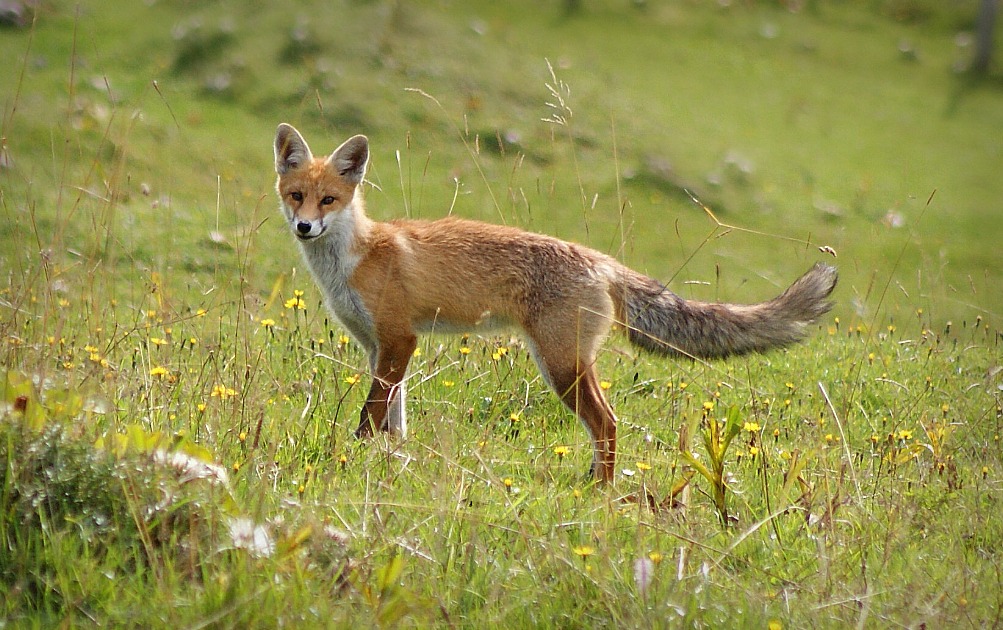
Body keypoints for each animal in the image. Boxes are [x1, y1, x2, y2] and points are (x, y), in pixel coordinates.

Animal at [274, 124, 838, 487]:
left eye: (328, 201)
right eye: (296, 195)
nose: (303, 227)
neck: (356, 256)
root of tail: (602, 261)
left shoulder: (398, 339)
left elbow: (370, 416)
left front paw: (351, 457)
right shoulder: (380, 348)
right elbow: (395, 418)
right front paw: (390, 461)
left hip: (561, 365)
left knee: (608, 423)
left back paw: (601, 491)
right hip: (569, 363)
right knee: (605, 425)